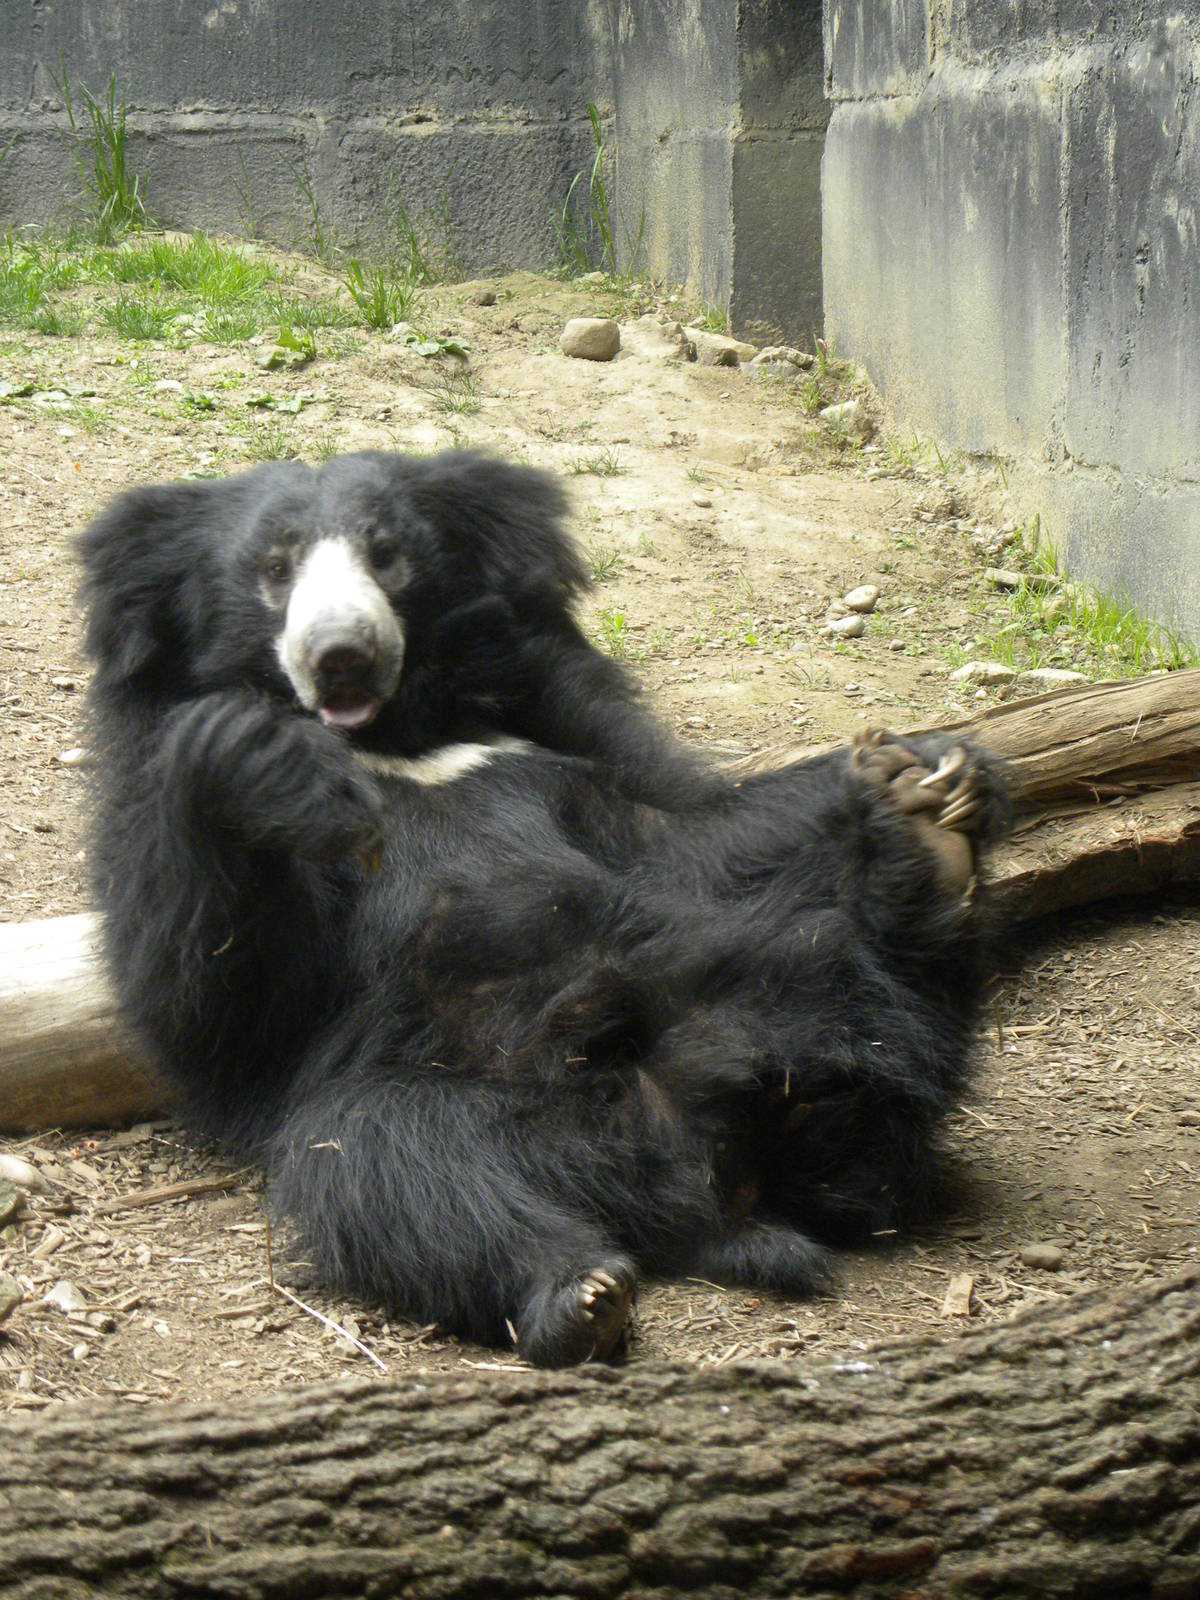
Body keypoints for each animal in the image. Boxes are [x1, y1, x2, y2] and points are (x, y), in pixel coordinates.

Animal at [78, 448, 1010, 1367]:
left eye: (388, 554)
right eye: (275, 569)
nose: (341, 653)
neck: (395, 735)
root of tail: (693, 1187)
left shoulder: (558, 718)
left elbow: (688, 832)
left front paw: (921, 767)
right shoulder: (151, 788)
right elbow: (217, 1011)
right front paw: (261, 759)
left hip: (780, 997)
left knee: (851, 1012)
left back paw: (918, 864)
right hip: (443, 1102)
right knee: (395, 1165)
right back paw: (578, 1293)